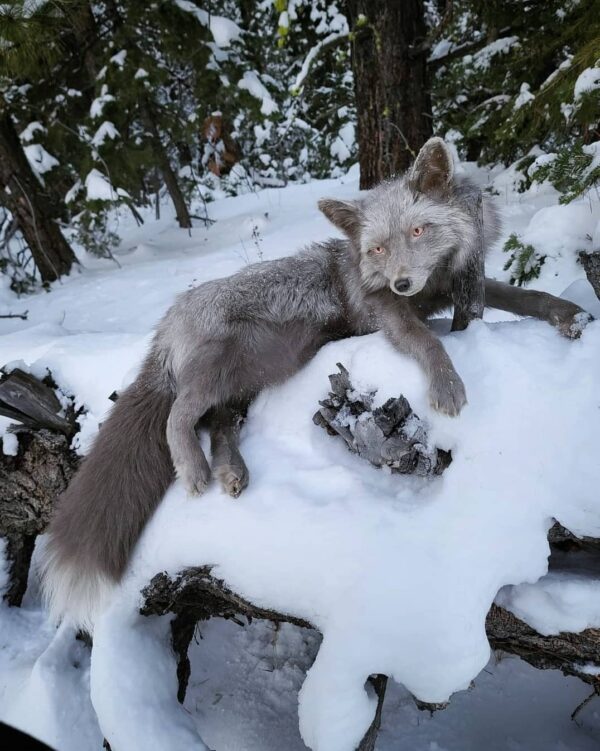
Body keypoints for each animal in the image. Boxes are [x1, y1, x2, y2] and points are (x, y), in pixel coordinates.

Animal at [41, 138, 591, 630]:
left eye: (419, 230)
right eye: (377, 249)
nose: (401, 282)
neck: (433, 282)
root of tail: (165, 325)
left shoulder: (453, 290)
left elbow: (524, 296)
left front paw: (569, 315)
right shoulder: (385, 311)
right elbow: (427, 340)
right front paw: (447, 385)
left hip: (246, 380)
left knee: (219, 424)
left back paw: (231, 472)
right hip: (215, 368)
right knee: (179, 416)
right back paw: (194, 470)